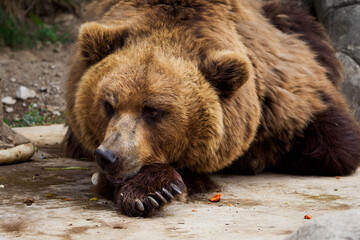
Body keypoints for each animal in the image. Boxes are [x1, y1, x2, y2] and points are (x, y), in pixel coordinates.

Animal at [63, 0, 360, 217]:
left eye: (153, 110)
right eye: (108, 104)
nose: (109, 156)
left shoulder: (284, 94)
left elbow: (336, 145)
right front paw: (154, 191)